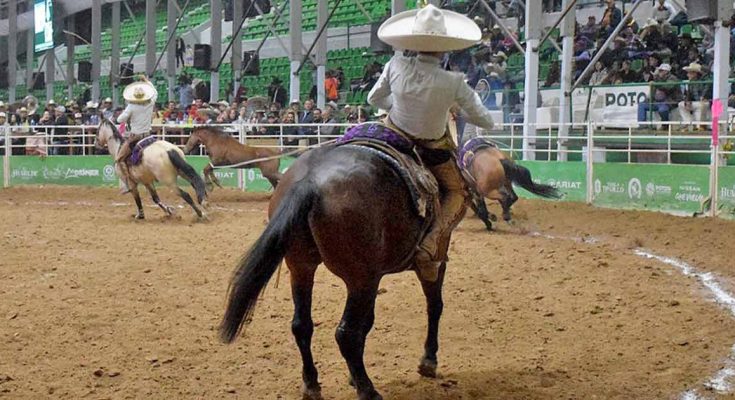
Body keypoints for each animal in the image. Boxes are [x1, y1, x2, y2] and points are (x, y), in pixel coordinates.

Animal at [218, 144, 454, 400]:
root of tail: (310, 181)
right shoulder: (432, 261)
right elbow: (434, 306)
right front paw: (428, 360)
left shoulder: (375, 275)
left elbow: (368, 321)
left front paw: (352, 377)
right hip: (361, 279)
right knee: (346, 333)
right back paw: (368, 390)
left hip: (302, 268)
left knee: (302, 325)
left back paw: (312, 384)